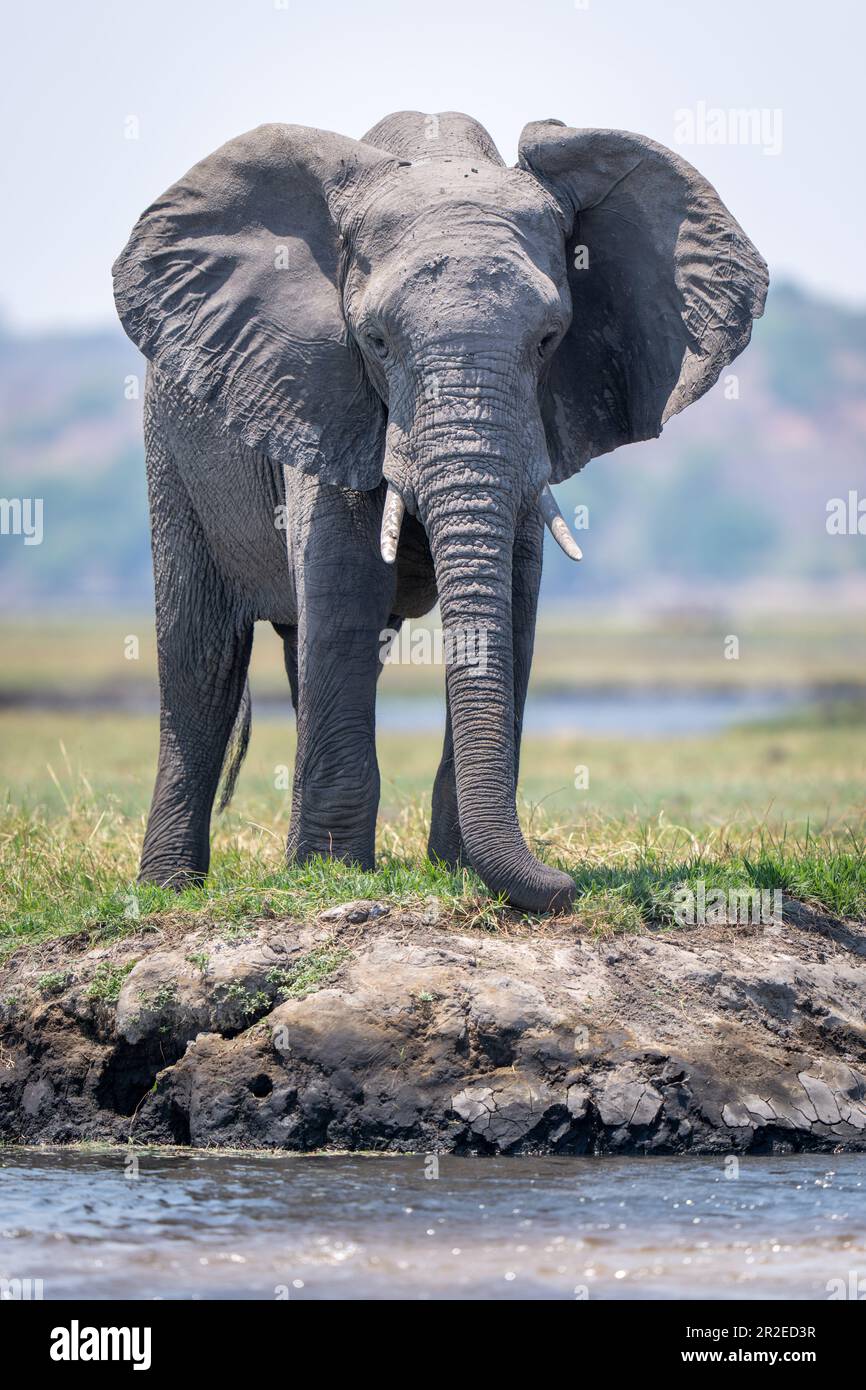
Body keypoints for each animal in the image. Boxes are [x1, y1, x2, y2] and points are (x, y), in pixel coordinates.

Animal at [113, 110, 767, 913]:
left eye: (549, 340)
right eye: (376, 340)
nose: (568, 883)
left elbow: (511, 601)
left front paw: (454, 870)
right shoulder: (324, 394)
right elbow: (345, 583)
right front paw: (331, 877)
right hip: (171, 441)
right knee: (201, 658)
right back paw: (169, 890)